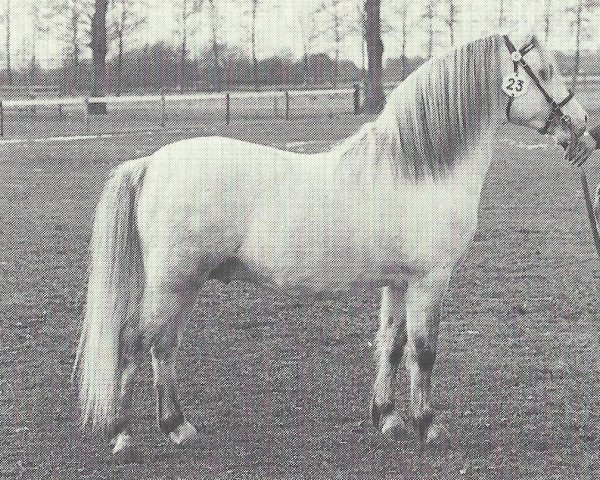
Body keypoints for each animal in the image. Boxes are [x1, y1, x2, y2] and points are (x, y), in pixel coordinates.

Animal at [74, 33, 584, 454]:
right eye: (546, 71)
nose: (581, 126)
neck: (419, 170)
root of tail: (150, 163)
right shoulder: (429, 281)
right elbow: (423, 351)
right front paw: (429, 426)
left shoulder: (398, 282)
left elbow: (392, 344)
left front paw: (388, 419)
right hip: (173, 282)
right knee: (135, 343)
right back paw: (126, 435)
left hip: (182, 285)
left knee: (162, 347)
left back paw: (176, 427)